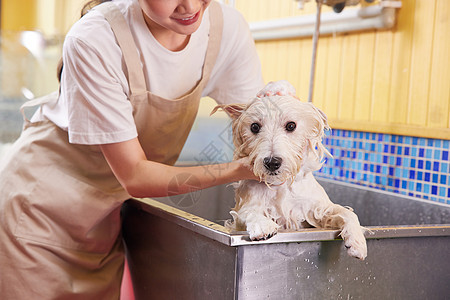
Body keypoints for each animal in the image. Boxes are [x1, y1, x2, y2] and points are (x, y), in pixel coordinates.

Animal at [213, 95, 368, 258]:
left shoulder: (319, 209)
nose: (272, 162)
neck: (280, 184)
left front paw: (357, 242)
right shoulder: (242, 212)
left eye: (291, 125)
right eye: (254, 127)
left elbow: (348, 213)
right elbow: (249, 212)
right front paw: (263, 225)